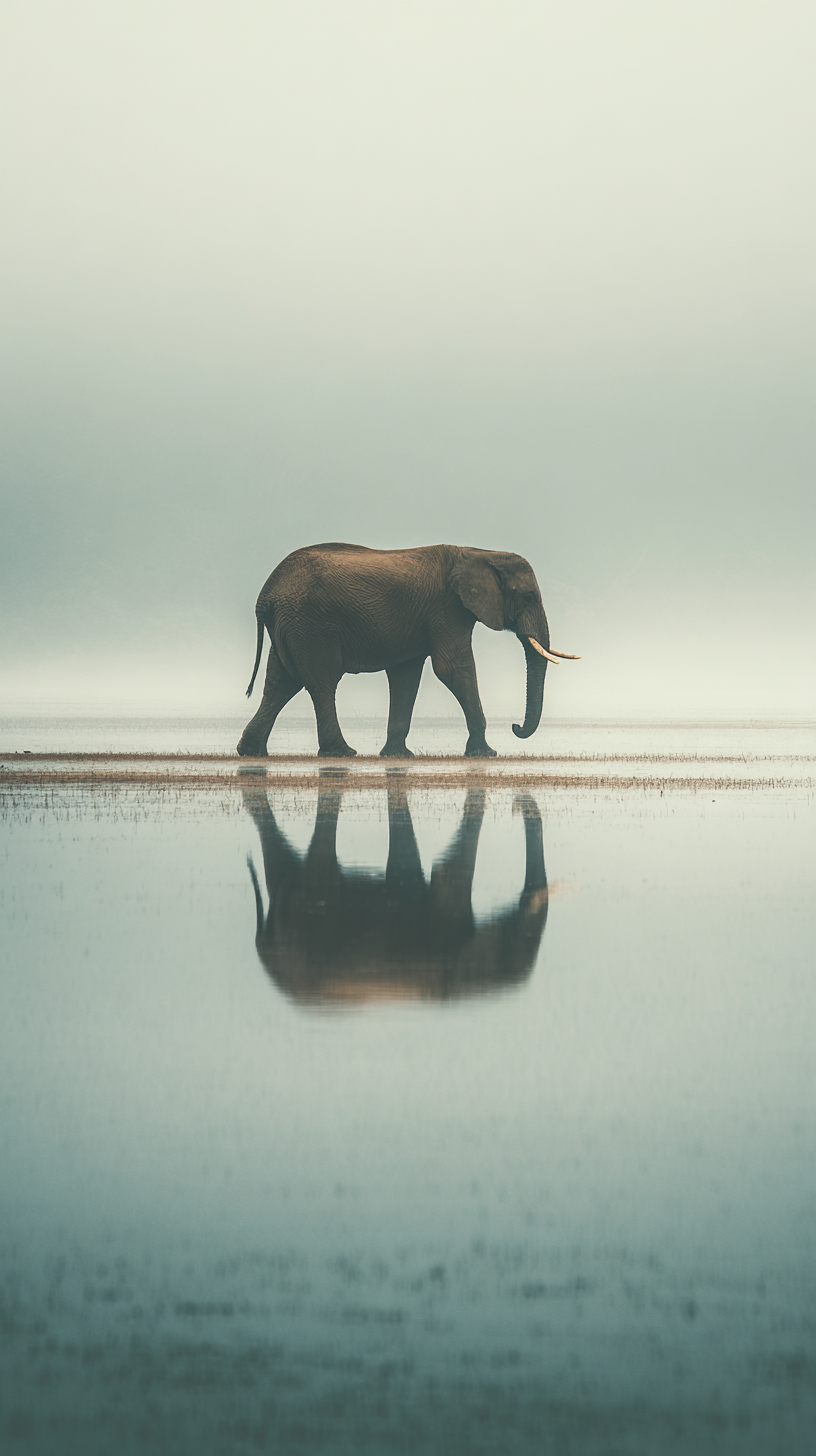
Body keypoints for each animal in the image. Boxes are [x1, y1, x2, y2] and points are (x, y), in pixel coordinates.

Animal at [236, 543, 578, 758]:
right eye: (529, 597)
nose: (515, 727)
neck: (479, 552)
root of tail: (265, 595)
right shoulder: (447, 609)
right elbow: (452, 669)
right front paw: (487, 753)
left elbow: (407, 676)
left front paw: (398, 755)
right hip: (311, 625)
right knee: (320, 682)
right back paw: (342, 752)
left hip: (292, 626)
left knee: (280, 683)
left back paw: (251, 751)